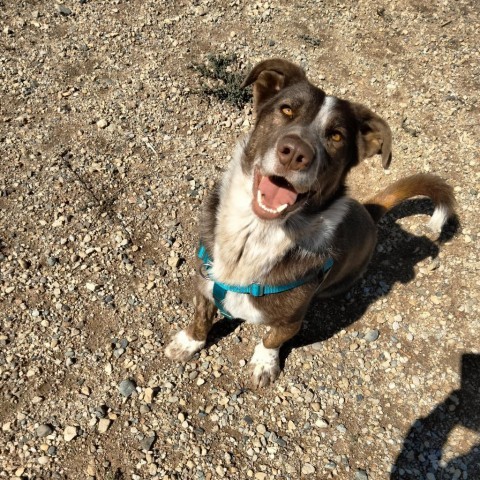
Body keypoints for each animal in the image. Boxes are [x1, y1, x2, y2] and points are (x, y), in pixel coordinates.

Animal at [164, 58, 454, 388]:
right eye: (287, 110)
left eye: (337, 136)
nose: (295, 153)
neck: (256, 234)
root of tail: (369, 210)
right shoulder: (205, 282)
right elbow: (201, 317)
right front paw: (189, 342)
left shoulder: (292, 320)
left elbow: (271, 339)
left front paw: (264, 364)